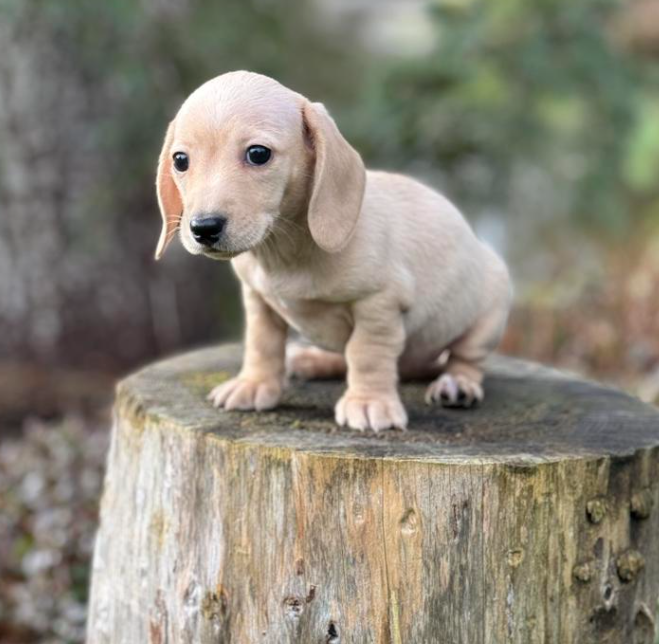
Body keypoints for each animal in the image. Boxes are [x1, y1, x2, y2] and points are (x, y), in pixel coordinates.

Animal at [157, 71, 512, 432]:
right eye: (180, 160)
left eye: (258, 153)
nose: (203, 228)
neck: (285, 251)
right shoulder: (258, 299)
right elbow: (261, 342)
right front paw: (254, 384)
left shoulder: (379, 304)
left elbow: (366, 353)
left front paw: (369, 402)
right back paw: (314, 360)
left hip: (487, 314)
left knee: (465, 359)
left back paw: (457, 384)